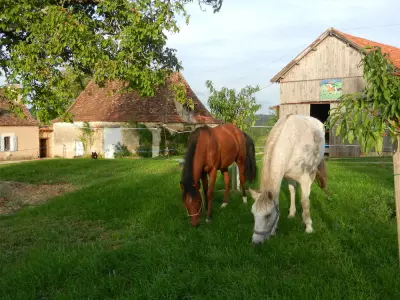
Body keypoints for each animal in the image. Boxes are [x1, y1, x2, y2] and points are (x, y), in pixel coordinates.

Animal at [250, 115, 328, 244]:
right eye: (253, 213)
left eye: (268, 215)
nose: (256, 242)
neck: (292, 142)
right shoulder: (288, 176)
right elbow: (292, 192)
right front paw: (291, 214)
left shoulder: (305, 177)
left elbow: (305, 201)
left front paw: (308, 227)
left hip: (312, 171)